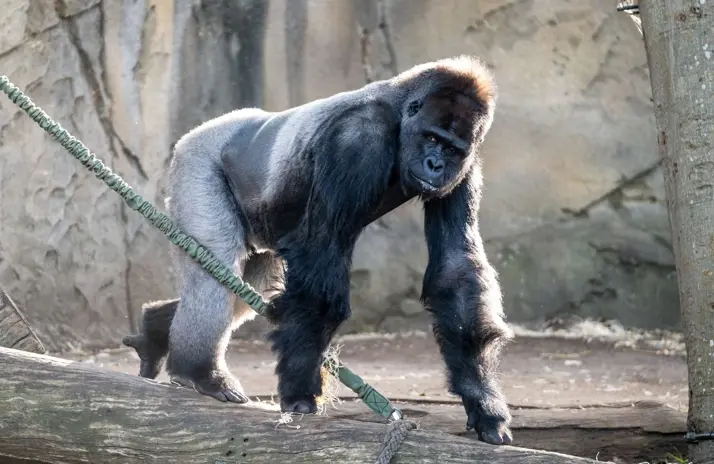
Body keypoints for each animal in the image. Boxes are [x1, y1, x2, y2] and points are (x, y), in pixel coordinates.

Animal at [122, 55, 514, 445]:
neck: (399, 112)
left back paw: (155, 329)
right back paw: (199, 371)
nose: (436, 165)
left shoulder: (467, 165)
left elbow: (455, 268)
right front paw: (299, 389)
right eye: (431, 138)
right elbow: (322, 250)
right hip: (197, 159)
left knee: (249, 282)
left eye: (451, 149)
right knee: (215, 266)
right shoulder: (356, 140)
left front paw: (483, 403)